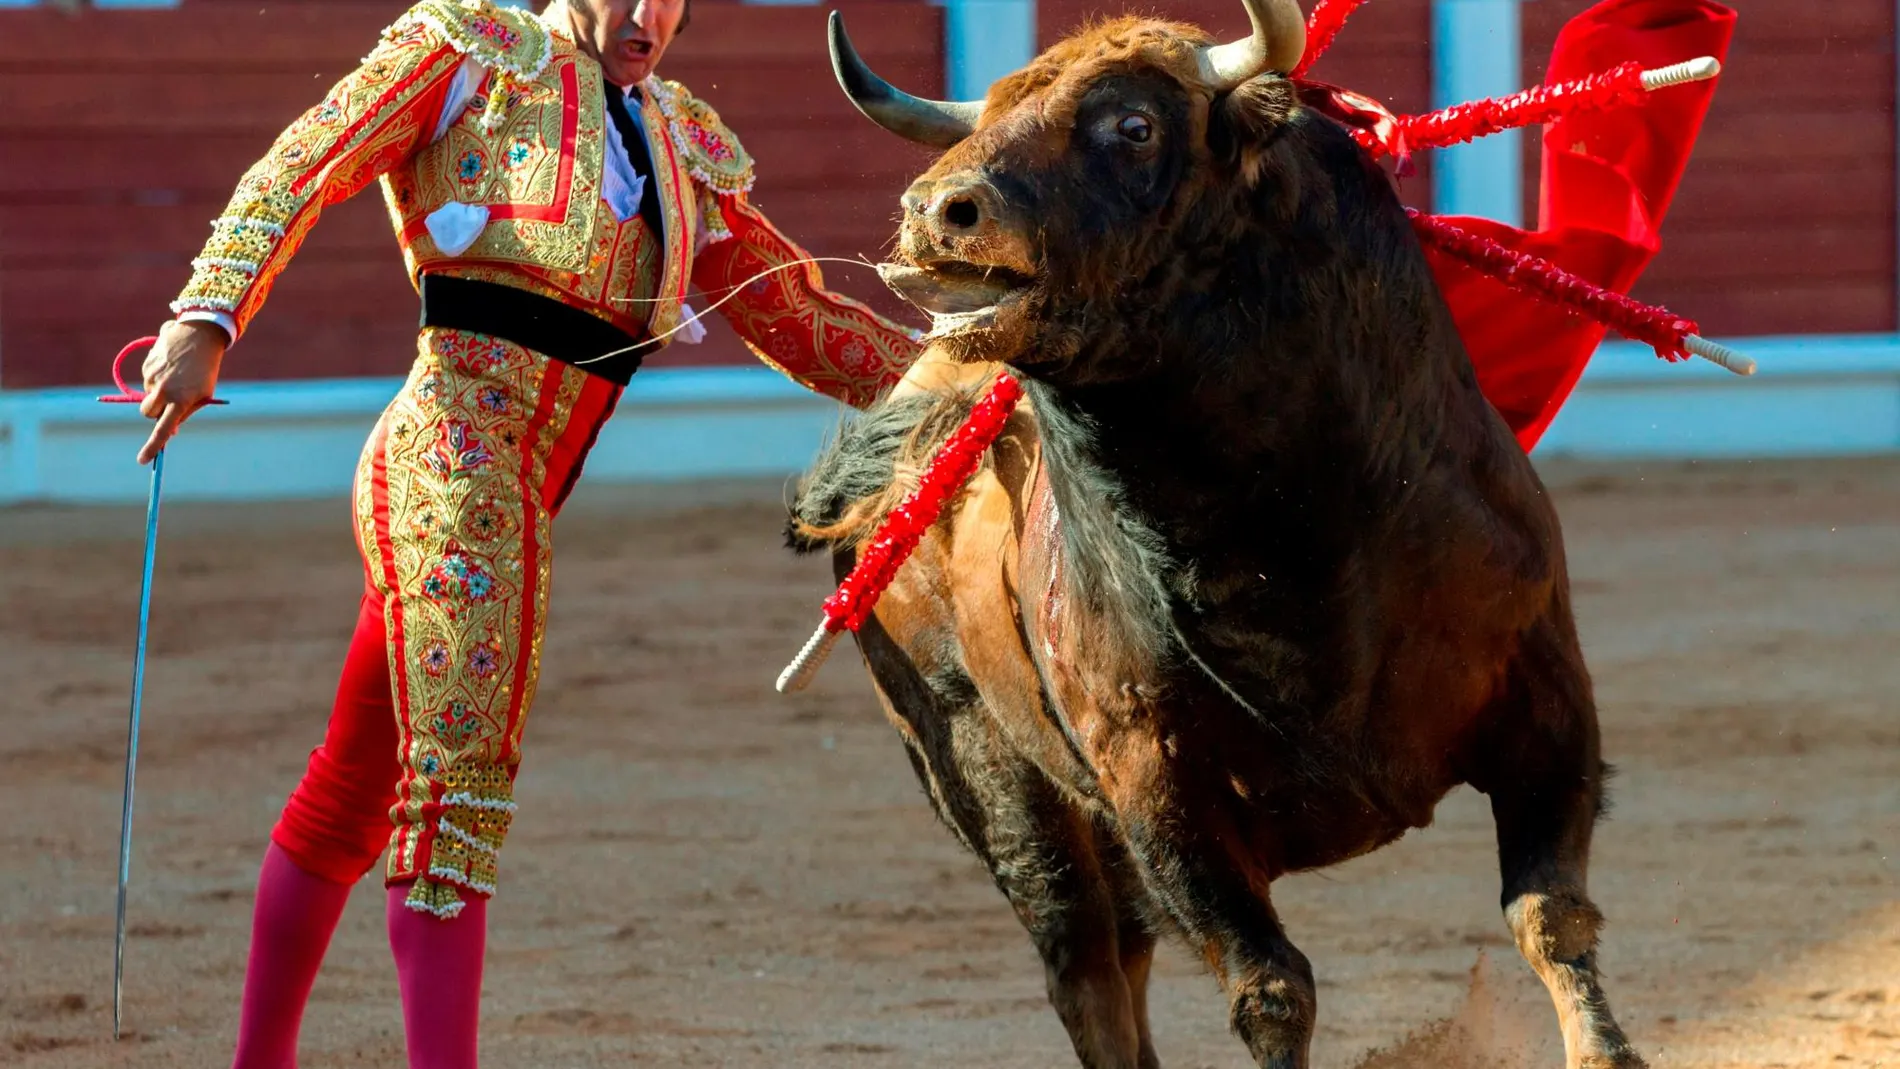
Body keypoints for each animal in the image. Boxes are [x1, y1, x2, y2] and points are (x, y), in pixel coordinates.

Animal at [786, 4, 1649, 1063]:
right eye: (985, 118)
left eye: (1134, 125)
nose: (933, 209)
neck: (1294, 543)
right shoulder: (1156, 787)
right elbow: (1271, 987)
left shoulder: (1547, 697)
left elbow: (1550, 915)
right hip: (992, 777)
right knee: (1086, 965)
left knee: (1126, 955)